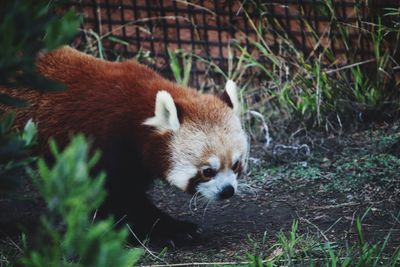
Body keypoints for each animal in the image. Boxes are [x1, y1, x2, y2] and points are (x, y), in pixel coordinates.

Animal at [4, 47, 248, 245]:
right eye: (207, 171)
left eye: (236, 165)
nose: (228, 191)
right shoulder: (105, 141)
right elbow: (119, 197)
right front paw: (171, 229)